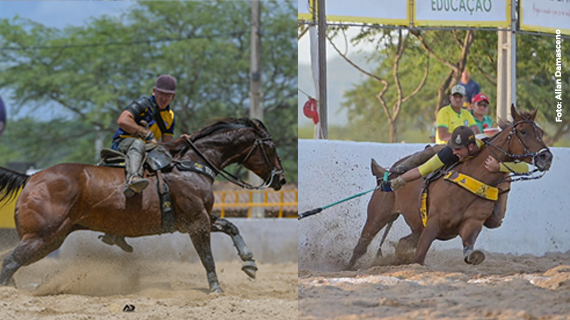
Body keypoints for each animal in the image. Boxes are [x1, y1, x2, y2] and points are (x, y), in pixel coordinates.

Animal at [0, 117, 284, 292]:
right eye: (270, 147)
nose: (280, 179)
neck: (191, 164)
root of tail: (31, 178)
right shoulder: (197, 222)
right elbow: (207, 257)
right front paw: (216, 287)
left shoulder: (199, 218)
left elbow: (231, 227)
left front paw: (249, 263)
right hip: (41, 237)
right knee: (10, 262)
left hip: (50, 240)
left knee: (10, 262)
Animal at [346, 106, 552, 268]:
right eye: (523, 131)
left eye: (541, 133)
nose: (546, 157)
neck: (473, 176)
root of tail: (385, 175)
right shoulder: (433, 223)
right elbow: (419, 258)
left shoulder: (472, 223)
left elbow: (469, 249)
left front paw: (475, 256)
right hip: (379, 214)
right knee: (361, 246)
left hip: (415, 227)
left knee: (402, 244)